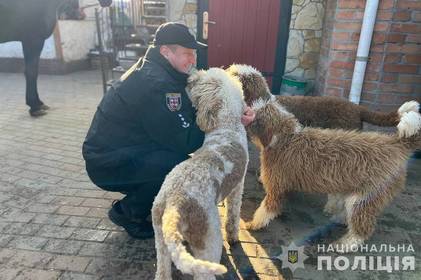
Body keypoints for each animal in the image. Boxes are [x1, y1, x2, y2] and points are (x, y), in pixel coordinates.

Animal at [152, 68, 248, 280]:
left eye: (199, 83)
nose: (190, 77)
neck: (227, 126)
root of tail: (174, 203)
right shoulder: (238, 188)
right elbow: (234, 215)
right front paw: (233, 237)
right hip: (209, 241)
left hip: (160, 240)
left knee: (163, 270)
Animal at [244, 98, 418, 247]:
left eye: (254, 115)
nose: (244, 112)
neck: (285, 138)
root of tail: (396, 144)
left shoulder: (276, 186)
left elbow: (266, 209)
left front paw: (255, 224)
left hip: (364, 198)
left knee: (362, 229)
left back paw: (345, 244)